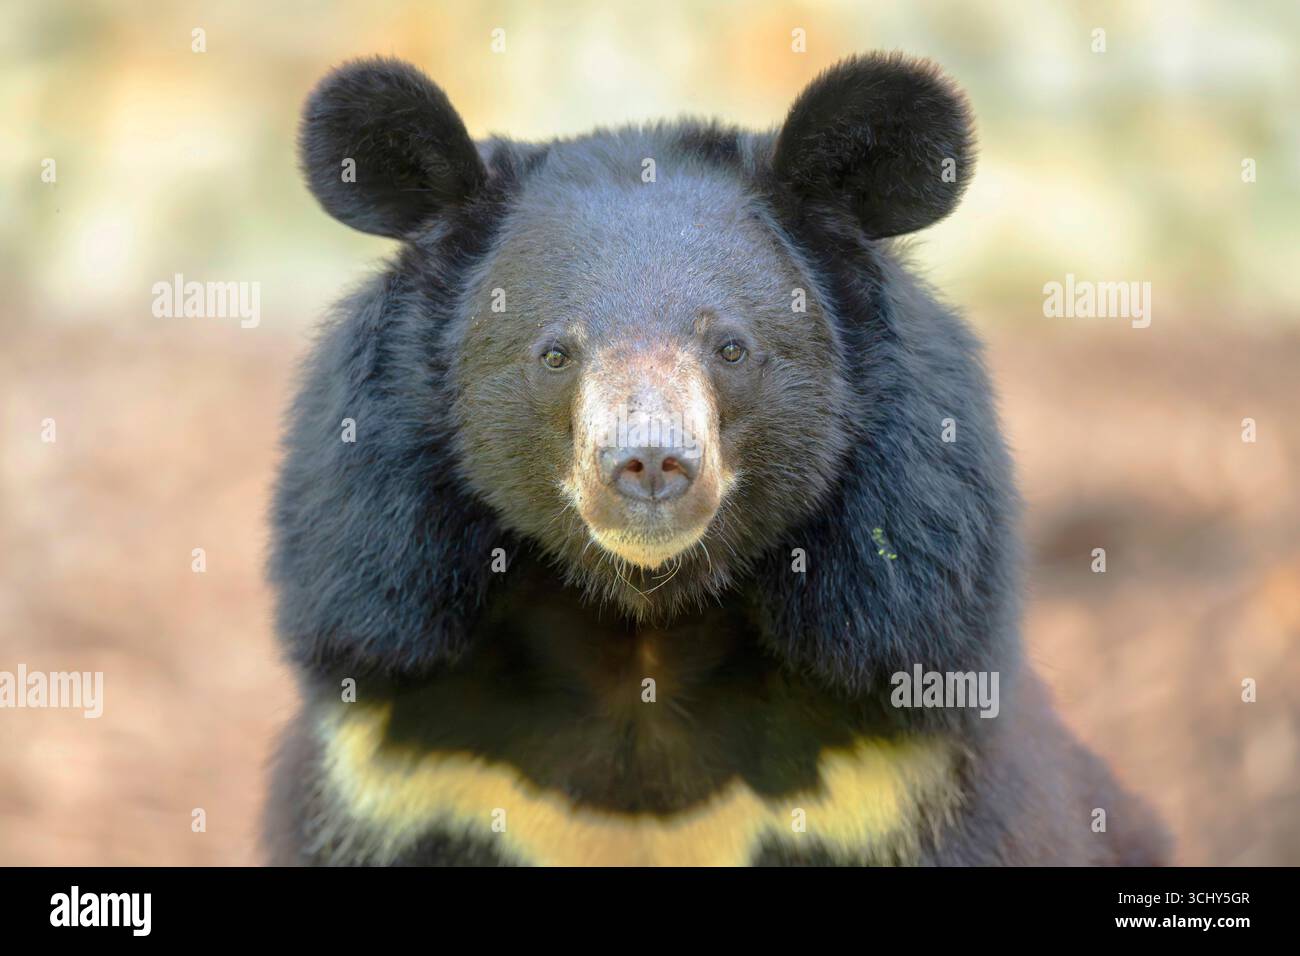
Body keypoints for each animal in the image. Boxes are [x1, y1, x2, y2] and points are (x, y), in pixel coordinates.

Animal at [264, 52, 1170, 866]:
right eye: (554, 354)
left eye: (730, 347)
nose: (650, 465)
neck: (645, 633)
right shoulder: (407, 770)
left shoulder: (891, 764)